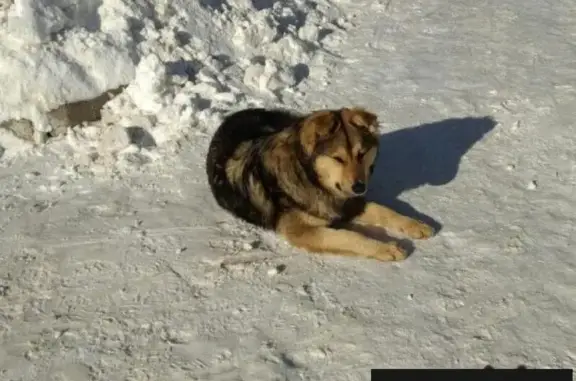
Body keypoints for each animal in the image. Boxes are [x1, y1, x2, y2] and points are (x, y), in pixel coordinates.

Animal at [205, 107, 434, 262]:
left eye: (361, 154)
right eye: (338, 158)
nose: (360, 187)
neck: (311, 178)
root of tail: (235, 115)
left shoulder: (348, 202)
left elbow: (384, 210)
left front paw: (415, 224)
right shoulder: (301, 230)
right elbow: (347, 236)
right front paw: (386, 248)